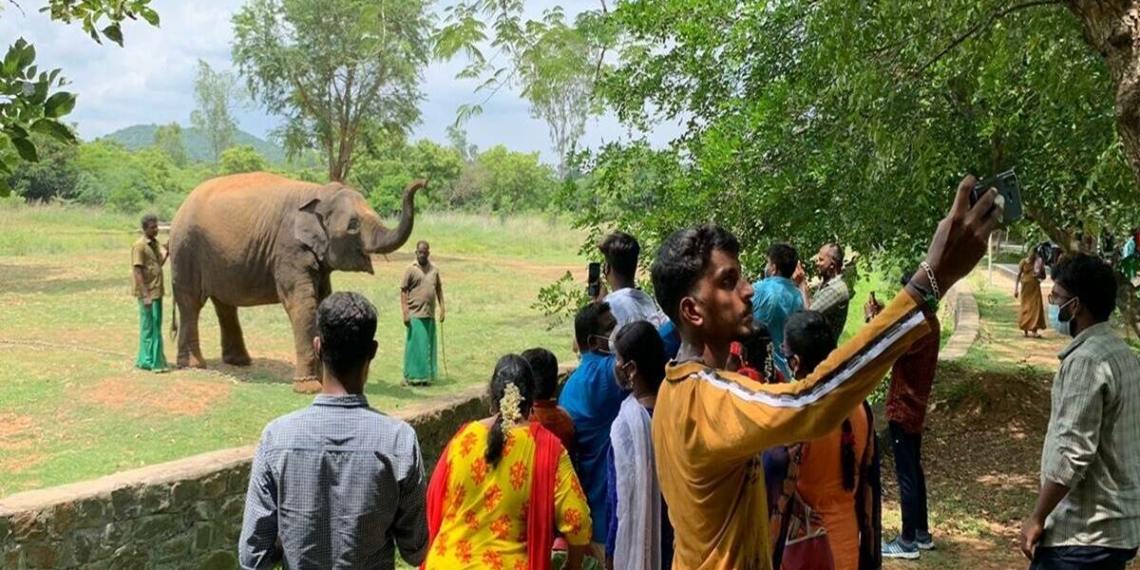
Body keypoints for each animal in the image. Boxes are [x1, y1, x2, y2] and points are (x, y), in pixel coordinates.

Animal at [166, 169, 421, 392]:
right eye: (353, 226)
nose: (422, 182)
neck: (320, 193)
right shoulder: (289, 249)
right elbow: (302, 304)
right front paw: (309, 388)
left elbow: (322, 300)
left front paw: (322, 378)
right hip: (186, 248)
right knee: (191, 303)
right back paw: (194, 365)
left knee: (224, 305)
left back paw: (238, 362)